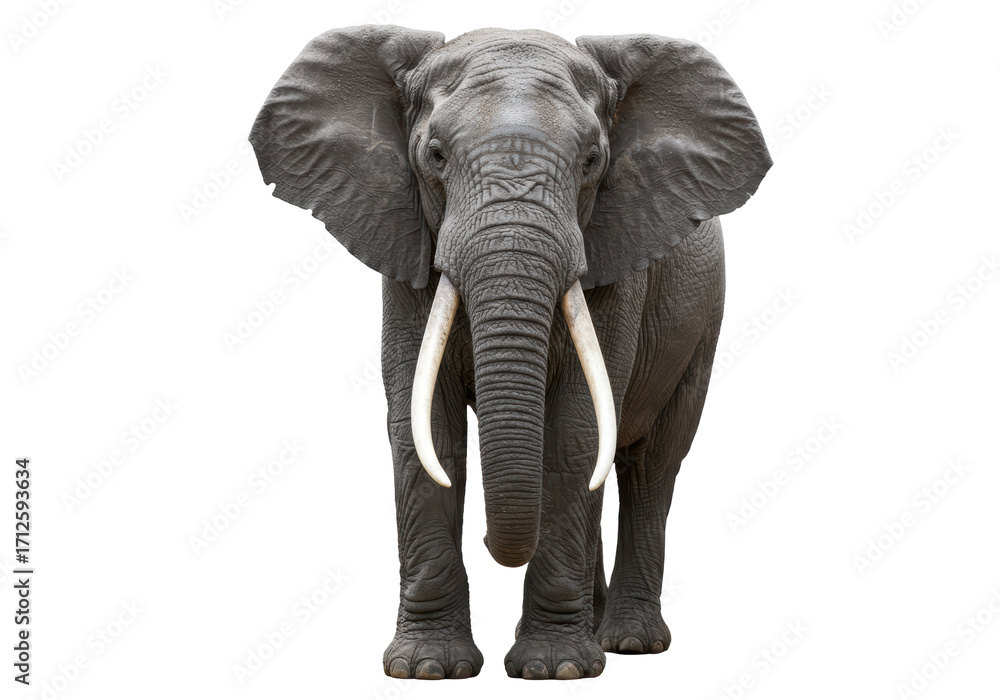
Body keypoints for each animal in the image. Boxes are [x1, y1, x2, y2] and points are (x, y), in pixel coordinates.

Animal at [249, 25, 770, 680]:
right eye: (435, 156)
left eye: (593, 161)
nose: (492, 545)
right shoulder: (407, 251)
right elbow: (424, 430)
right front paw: (426, 669)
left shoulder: (615, 261)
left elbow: (575, 431)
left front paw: (556, 670)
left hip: (703, 320)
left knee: (652, 463)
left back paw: (628, 643)